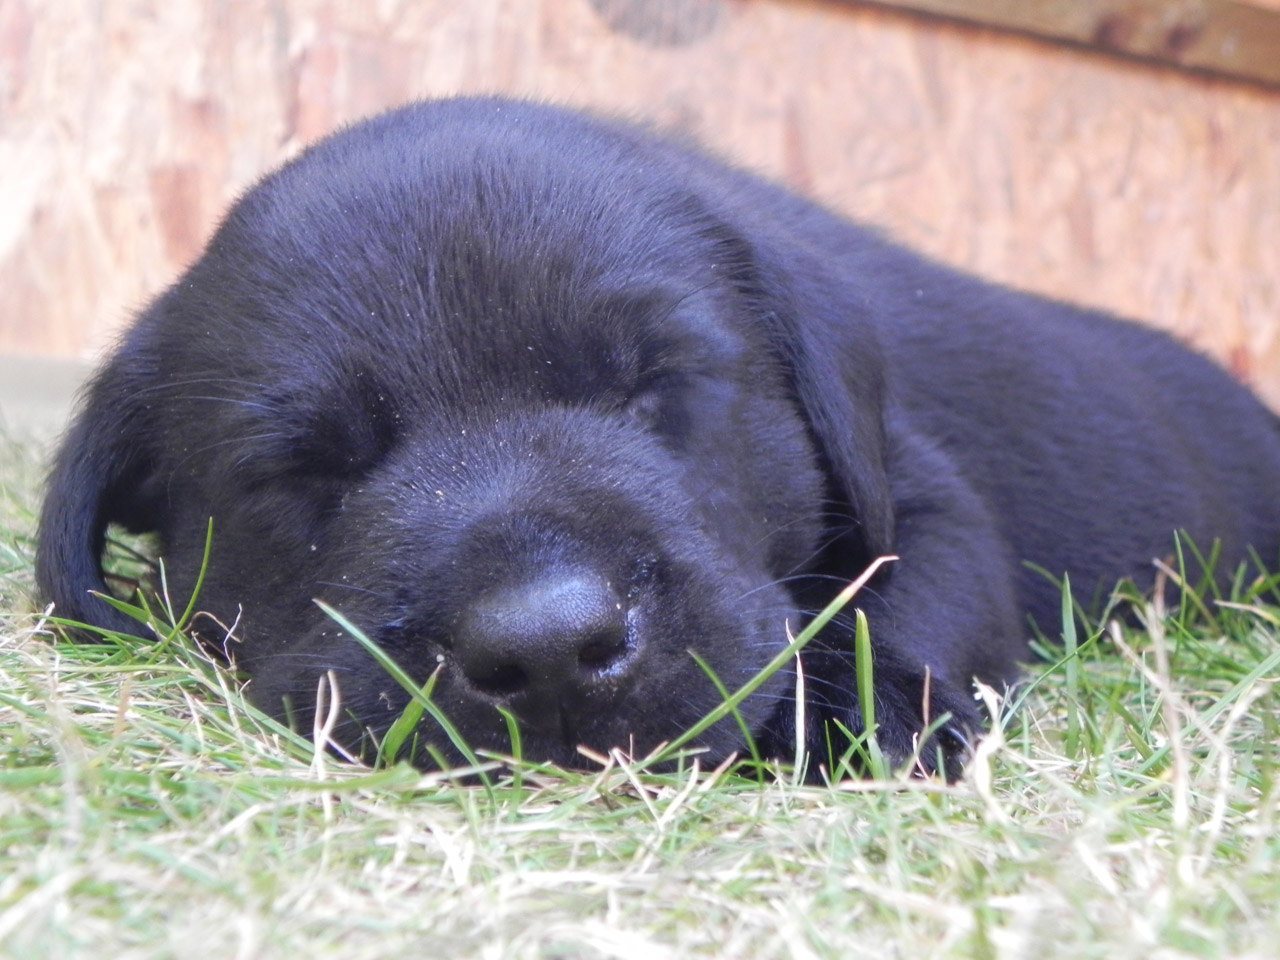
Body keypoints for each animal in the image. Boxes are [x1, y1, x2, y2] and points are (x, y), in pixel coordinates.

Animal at [32, 97, 1280, 778]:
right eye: (309, 471)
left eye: (653, 388)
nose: (545, 649)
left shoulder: (917, 494)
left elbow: (907, 603)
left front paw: (868, 717)